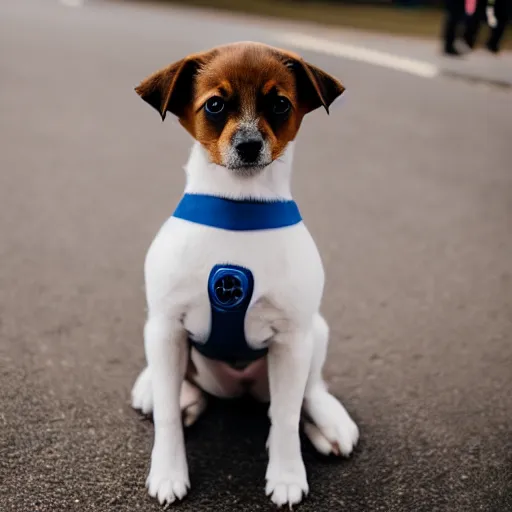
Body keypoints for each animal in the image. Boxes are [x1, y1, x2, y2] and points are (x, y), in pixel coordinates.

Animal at [130, 41, 358, 508]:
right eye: (215, 105)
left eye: (280, 103)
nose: (250, 145)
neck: (239, 209)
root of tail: (239, 389)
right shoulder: (167, 326)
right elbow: (167, 416)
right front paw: (168, 471)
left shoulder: (291, 340)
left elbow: (286, 415)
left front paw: (287, 474)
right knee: (173, 386)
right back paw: (164, 390)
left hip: (315, 331)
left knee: (306, 391)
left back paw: (328, 421)